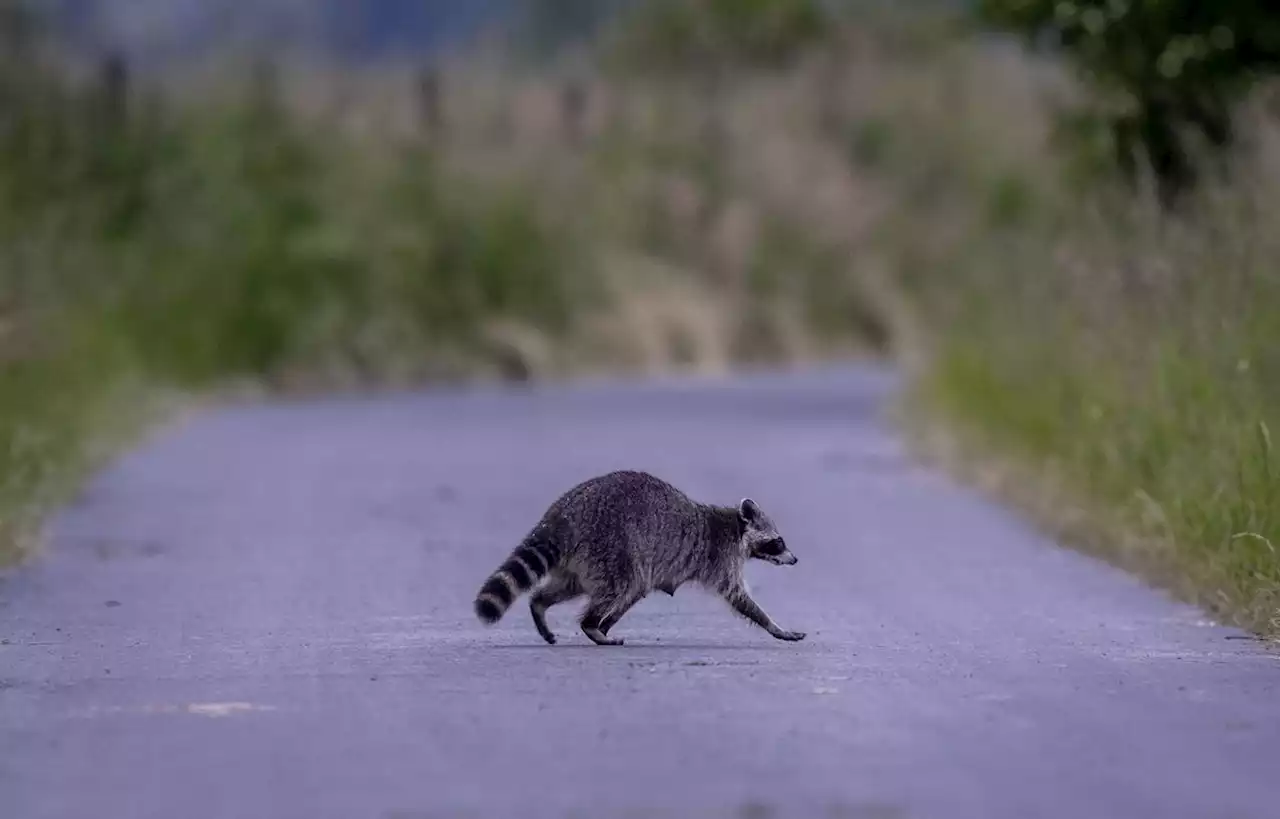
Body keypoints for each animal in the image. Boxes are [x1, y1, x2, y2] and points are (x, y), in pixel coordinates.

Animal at [476, 470, 803, 642]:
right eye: (778, 542)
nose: (795, 559)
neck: (736, 529)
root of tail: (562, 514)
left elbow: (638, 593)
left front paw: (608, 622)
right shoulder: (721, 558)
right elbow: (739, 598)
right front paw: (774, 627)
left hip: (583, 558)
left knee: (583, 587)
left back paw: (542, 606)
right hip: (609, 544)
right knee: (620, 585)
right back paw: (591, 625)